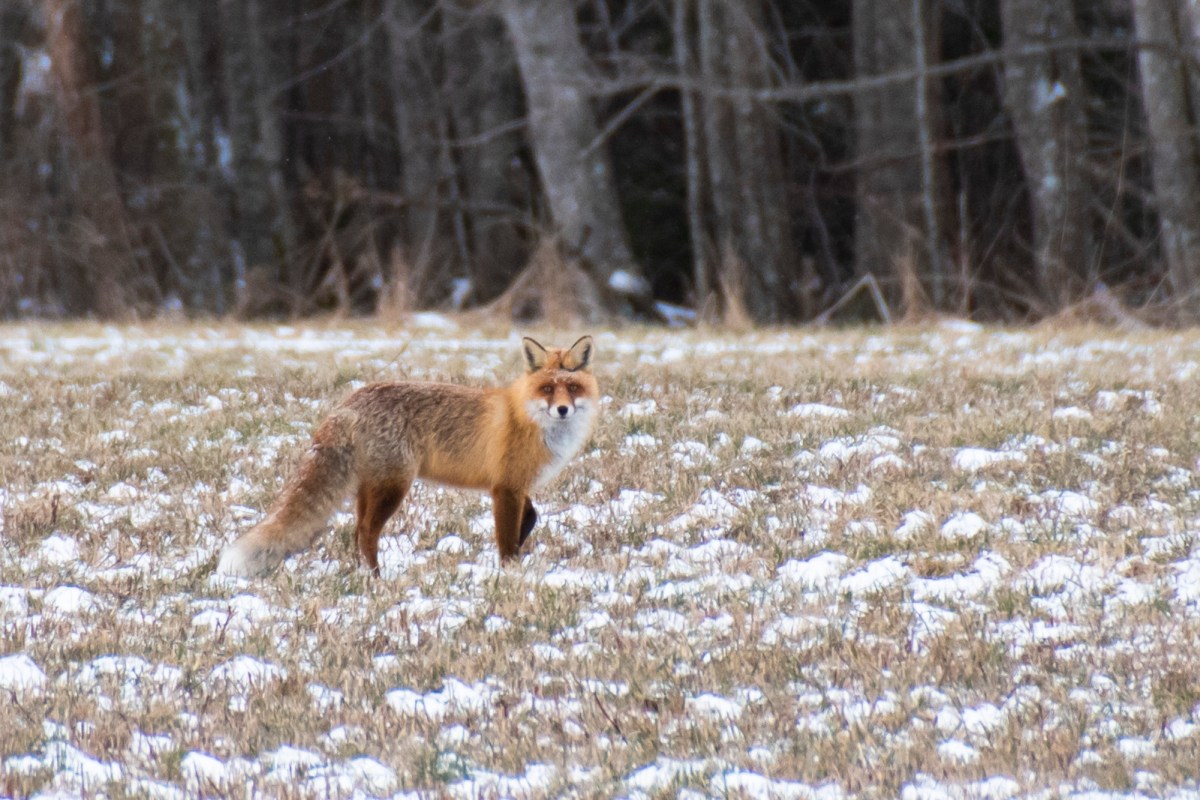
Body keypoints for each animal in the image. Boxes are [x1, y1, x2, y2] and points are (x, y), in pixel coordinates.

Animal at [216, 336, 598, 576]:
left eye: (572, 387)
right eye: (547, 389)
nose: (563, 410)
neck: (531, 420)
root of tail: (349, 401)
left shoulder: (515, 486)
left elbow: (531, 517)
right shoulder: (505, 488)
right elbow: (506, 540)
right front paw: (509, 575)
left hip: (370, 487)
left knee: (356, 532)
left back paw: (364, 574)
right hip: (394, 486)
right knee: (366, 532)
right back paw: (376, 580)